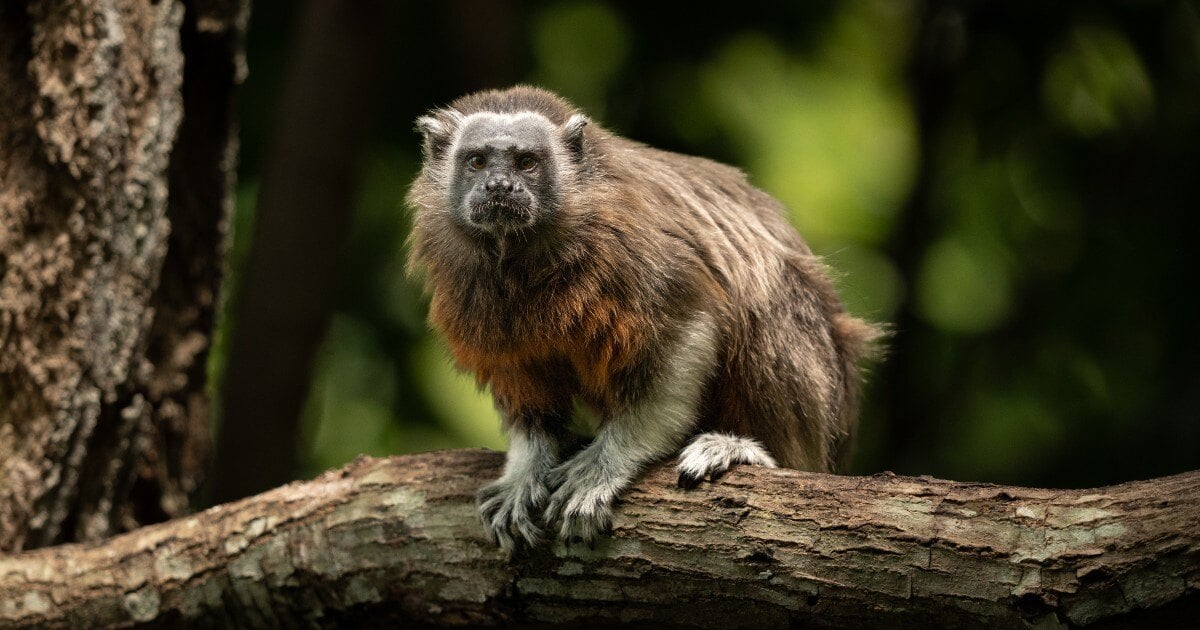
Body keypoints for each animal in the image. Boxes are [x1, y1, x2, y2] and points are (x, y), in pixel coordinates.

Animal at [405, 84, 883, 549]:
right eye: (477, 161)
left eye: (526, 163)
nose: (499, 186)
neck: (523, 255)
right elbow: (523, 383)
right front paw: (526, 469)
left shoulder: (635, 250)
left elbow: (686, 333)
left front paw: (606, 464)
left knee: (769, 292)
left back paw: (753, 451)